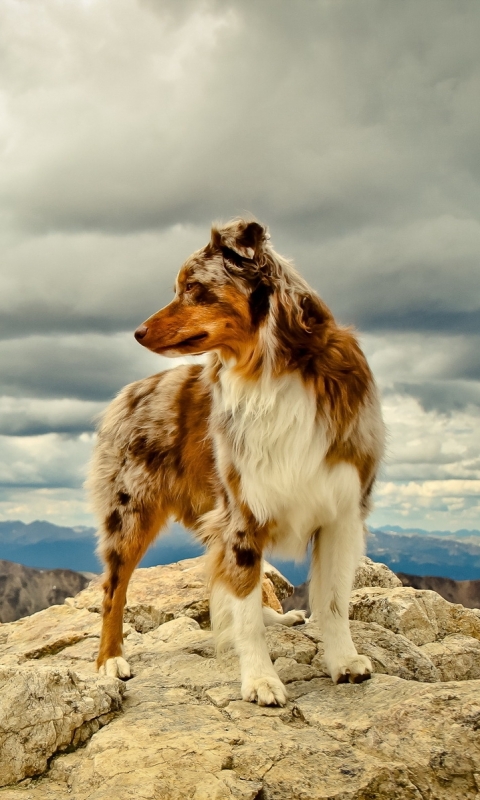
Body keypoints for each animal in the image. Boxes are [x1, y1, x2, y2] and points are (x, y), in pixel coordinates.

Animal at [87, 217, 386, 708]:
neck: (272, 370)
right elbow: (243, 610)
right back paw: (109, 660)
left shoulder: (340, 511)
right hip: (130, 512)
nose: (137, 332)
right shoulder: (241, 513)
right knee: (114, 589)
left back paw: (276, 618)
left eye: (192, 287)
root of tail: (128, 392)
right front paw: (261, 680)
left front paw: (343, 661)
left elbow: (333, 600)